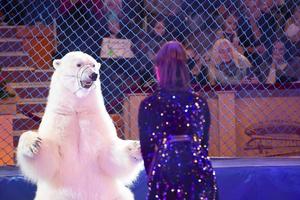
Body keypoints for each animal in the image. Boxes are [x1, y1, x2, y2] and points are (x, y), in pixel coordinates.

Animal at [16, 51, 143, 200]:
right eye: (79, 64)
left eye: (93, 65)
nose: (94, 75)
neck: (76, 109)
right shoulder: (58, 120)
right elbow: (48, 160)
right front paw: (33, 143)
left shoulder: (95, 120)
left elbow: (108, 154)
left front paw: (137, 147)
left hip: (113, 194)